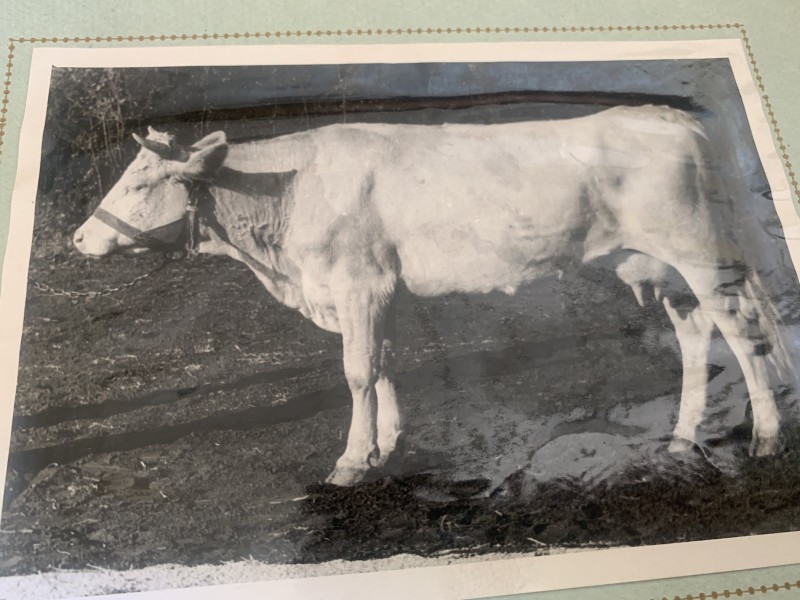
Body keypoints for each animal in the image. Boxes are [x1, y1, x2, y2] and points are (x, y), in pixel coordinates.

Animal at [73, 105, 793, 486]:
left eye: (141, 185)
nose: (78, 237)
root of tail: (665, 115)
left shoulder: (358, 283)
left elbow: (357, 372)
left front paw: (350, 461)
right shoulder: (375, 290)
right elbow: (382, 364)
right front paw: (387, 445)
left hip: (702, 256)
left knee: (742, 335)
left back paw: (764, 438)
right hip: (661, 267)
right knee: (696, 336)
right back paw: (681, 437)